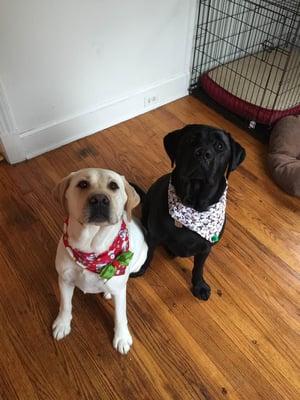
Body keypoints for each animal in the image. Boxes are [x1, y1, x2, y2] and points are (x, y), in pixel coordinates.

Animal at [53, 168, 149, 354]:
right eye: (82, 184)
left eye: (114, 186)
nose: (99, 199)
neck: (90, 250)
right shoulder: (64, 280)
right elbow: (65, 305)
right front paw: (62, 323)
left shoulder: (120, 292)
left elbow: (120, 316)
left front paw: (122, 337)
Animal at [131, 125, 246, 300]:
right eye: (190, 140)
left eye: (220, 146)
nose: (203, 153)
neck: (193, 206)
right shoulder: (154, 236)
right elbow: (148, 253)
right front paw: (141, 267)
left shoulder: (205, 248)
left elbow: (198, 268)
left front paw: (199, 285)